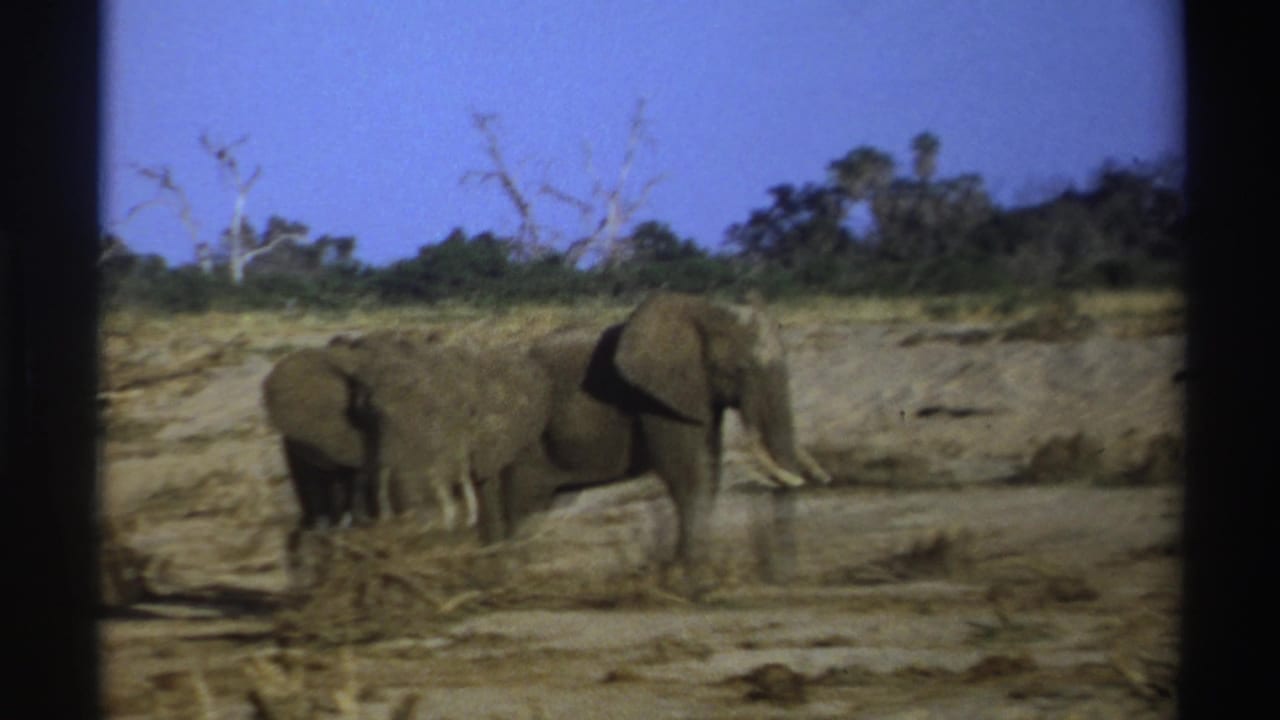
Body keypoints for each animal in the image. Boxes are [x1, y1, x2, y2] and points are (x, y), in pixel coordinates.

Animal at [477, 291, 830, 589]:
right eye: (743, 368)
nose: (781, 581)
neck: (704, 310)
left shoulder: (697, 395)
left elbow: (709, 471)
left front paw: (684, 577)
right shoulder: (661, 397)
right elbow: (689, 474)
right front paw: (694, 585)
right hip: (522, 443)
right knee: (521, 504)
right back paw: (508, 581)